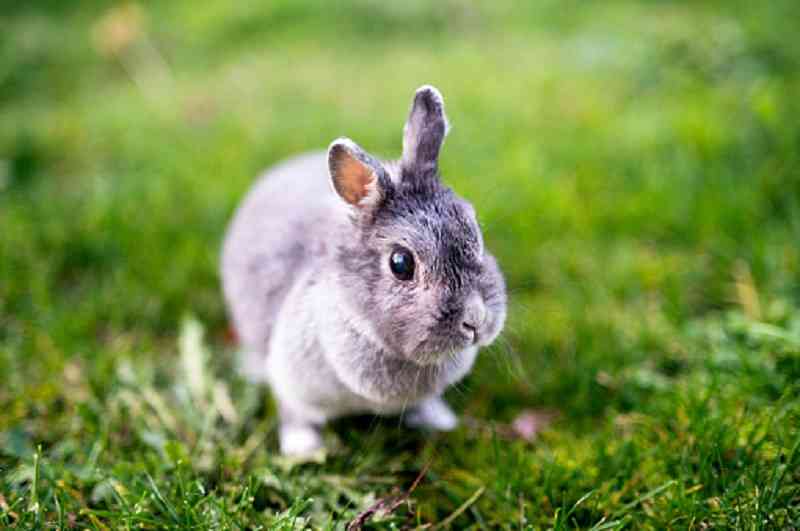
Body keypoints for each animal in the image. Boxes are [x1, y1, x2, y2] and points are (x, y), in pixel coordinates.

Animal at [220, 85, 506, 456]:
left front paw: (438, 419)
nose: (476, 321)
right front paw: (303, 448)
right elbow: (293, 411)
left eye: (477, 234)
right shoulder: (290, 376)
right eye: (401, 264)